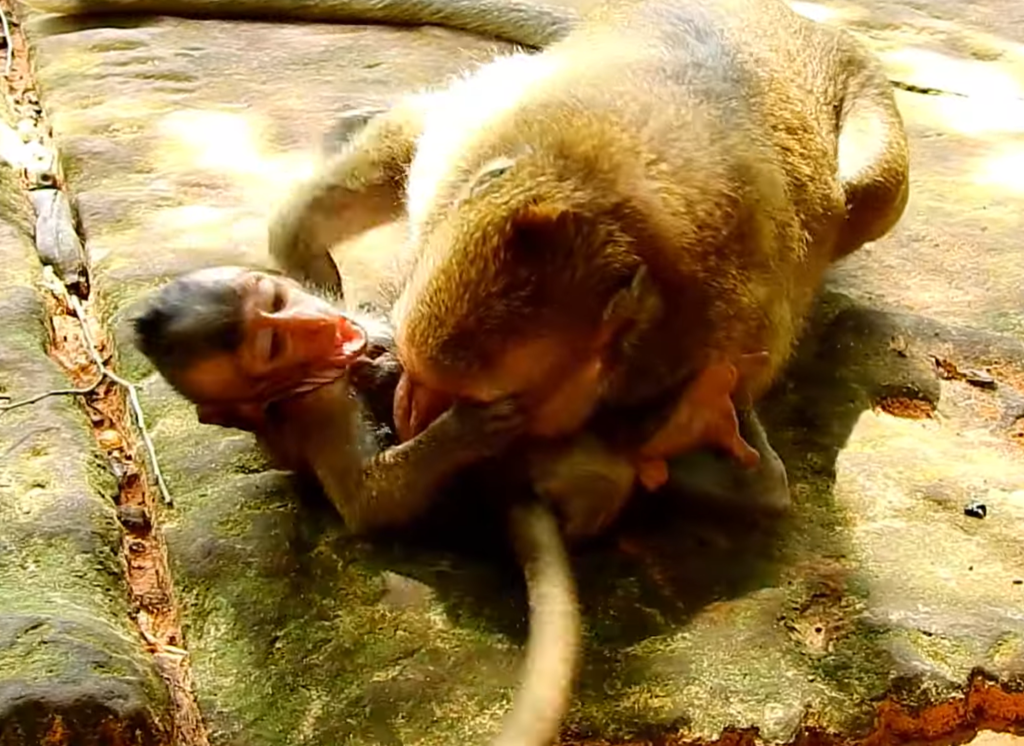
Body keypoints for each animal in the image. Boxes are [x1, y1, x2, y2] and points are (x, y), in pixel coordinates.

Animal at [131, 265, 581, 746]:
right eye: (274, 345)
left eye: (274, 301)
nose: (316, 323)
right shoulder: (318, 401)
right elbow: (365, 503)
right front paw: (462, 428)